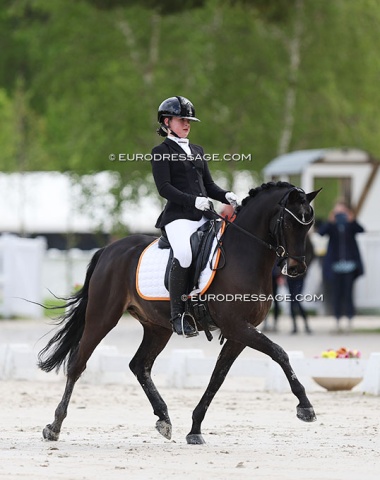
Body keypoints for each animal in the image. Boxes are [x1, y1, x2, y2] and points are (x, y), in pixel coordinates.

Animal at [37, 182, 320, 444]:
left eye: (309, 225)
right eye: (290, 223)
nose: (297, 268)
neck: (245, 254)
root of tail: (110, 249)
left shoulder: (239, 333)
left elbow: (218, 378)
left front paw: (195, 429)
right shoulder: (237, 326)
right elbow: (279, 353)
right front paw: (305, 406)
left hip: (158, 327)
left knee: (140, 365)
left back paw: (163, 418)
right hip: (102, 316)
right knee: (77, 363)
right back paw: (54, 426)